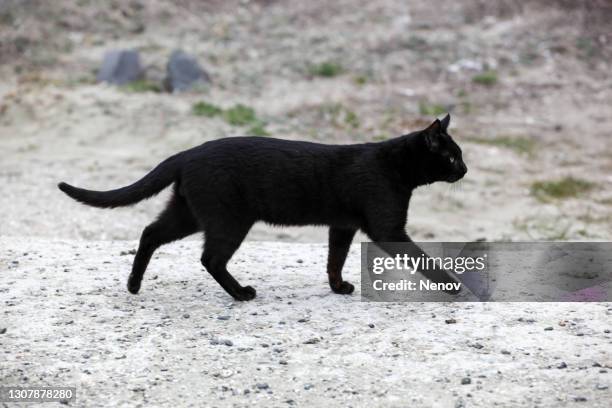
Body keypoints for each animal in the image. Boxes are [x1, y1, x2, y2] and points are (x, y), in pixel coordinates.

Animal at [59, 114, 466, 300]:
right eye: (450, 157)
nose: (465, 169)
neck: (394, 166)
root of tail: (188, 152)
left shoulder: (342, 226)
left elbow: (334, 259)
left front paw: (338, 287)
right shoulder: (387, 228)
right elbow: (423, 259)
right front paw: (453, 285)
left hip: (188, 213)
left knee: (150, 233)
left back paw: (133, 285)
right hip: (228, 220)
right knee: (210, 258)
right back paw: (242, 294)